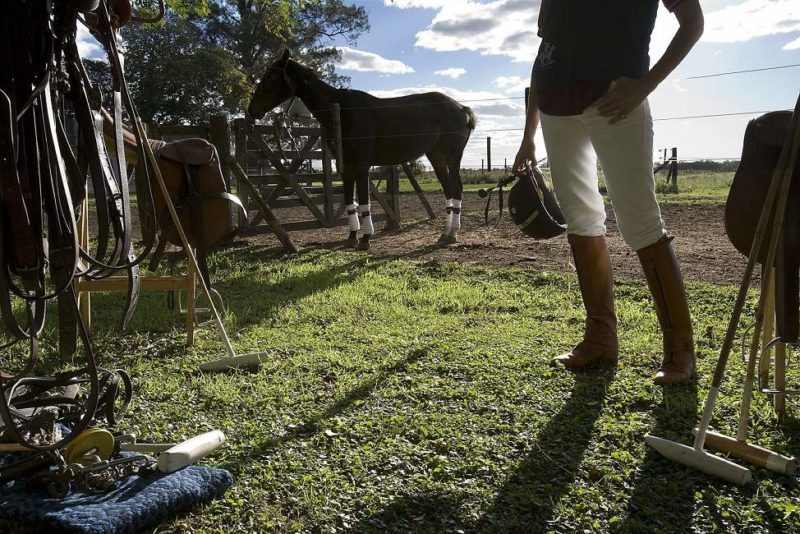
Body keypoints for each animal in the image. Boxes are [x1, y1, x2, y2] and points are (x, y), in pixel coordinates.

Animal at [248, 50, 476, 251]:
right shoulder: (345, 167)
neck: (341, 111)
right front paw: (351, 238)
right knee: (450, 192)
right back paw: (446, 234)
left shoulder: (362, 165)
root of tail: (462, 109)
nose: (251, 109)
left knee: (456, 190)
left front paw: (366, 239)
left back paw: (451, 233)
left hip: (452, 157)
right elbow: (350, 201)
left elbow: (365, 202)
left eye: (271, 75)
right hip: (437, 158)